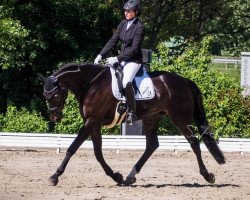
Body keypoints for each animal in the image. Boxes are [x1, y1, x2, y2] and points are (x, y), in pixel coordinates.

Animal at [40, 62, 226, 186]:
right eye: (45, 96)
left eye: (55, 95)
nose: (55, 117)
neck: (91, 84)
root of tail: (184, 80)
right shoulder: (93, 123)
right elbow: (98, 153)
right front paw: (116, 176)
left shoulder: (91, 121)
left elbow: (72, 148)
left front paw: (54, 176)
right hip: (152, 118)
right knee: (152, 145)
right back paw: (130, 176)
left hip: (180, 118)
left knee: (193, 141)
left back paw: (208, 176)